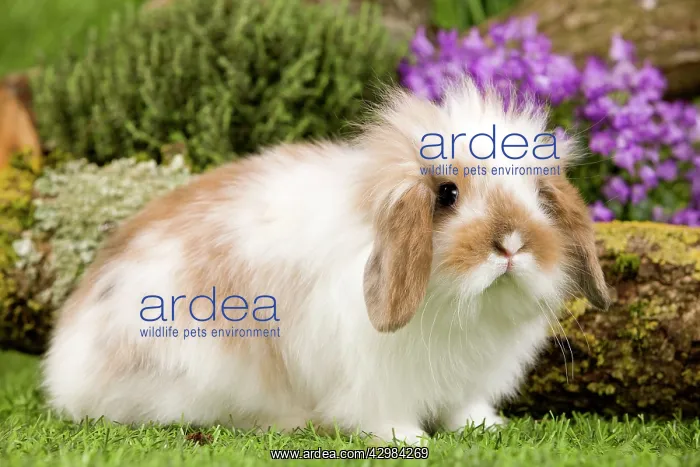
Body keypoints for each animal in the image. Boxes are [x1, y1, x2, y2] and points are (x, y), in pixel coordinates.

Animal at [42, 78, 610, 444]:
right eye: (446, 194)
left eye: (538, 195)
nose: (512, 243)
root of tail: (65, 357)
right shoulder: (373, 378)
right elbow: (384, 414)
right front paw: (408, 441)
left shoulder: (470, 379)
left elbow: (464, 407)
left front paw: (484, 427)